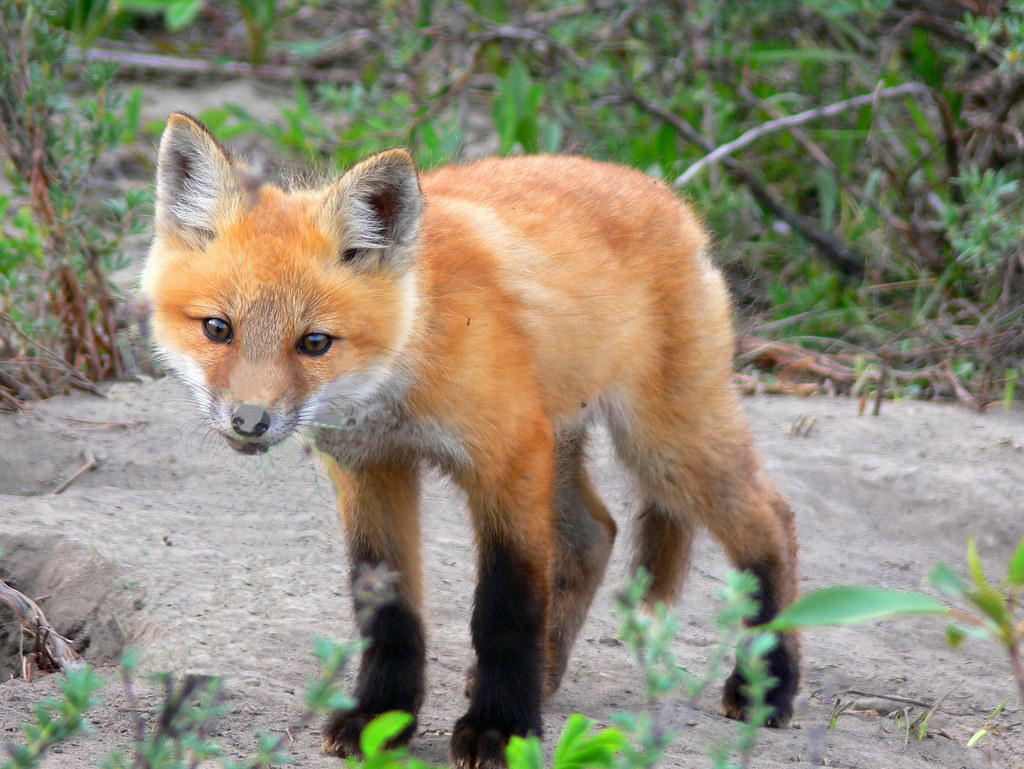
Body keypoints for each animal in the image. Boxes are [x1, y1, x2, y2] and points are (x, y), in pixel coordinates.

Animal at [142, 112, 798, 769]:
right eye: (218, 329)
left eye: (315, 343)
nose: (249, 421)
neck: (410, 365)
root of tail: (669, 197)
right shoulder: (372, 470)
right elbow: (389, 614)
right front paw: (381, 717)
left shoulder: (508, 460)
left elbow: (505, 610)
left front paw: (500, 727)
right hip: (569, 446)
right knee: (596, 534)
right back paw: (549, 674)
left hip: (663, 447)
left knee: (771, 521)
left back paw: (769, 682)